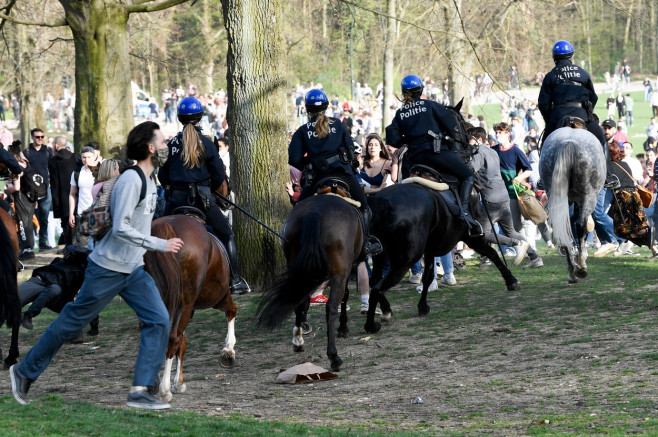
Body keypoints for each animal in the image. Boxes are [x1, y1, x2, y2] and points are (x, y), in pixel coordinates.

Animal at [145, 213, 237, 400]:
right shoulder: (217, 297)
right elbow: (232, 311)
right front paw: (228, 351)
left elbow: (183, 342)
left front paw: (179, 382)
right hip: (192, 302)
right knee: (172, 338)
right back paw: (164, 390)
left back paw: (153, 383)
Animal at [255, 194, 358, 372]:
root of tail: (315, 210)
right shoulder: (347, 270)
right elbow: (345, 296)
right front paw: (343, 328)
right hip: (339, 272)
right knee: (331, 307)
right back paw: (334, 357)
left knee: (298, 300)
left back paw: (298, 340)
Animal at [364, 182, 516, 332]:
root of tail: (381, 201)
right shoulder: (471, 237)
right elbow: (492, 253)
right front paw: (511, 280)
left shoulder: (430, 249)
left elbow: (428, 276)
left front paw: (423, 306)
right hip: (405, 259)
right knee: (377, 288)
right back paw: (371, 325)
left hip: (381, 254)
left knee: (375, 280)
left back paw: (386, 310)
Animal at [536, 126, 604, 282]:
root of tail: (569, 142)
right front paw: (581, 256)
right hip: (589, 197)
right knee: (580, 226)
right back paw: (581, 267)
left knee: (562, 226)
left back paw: (572, 271)